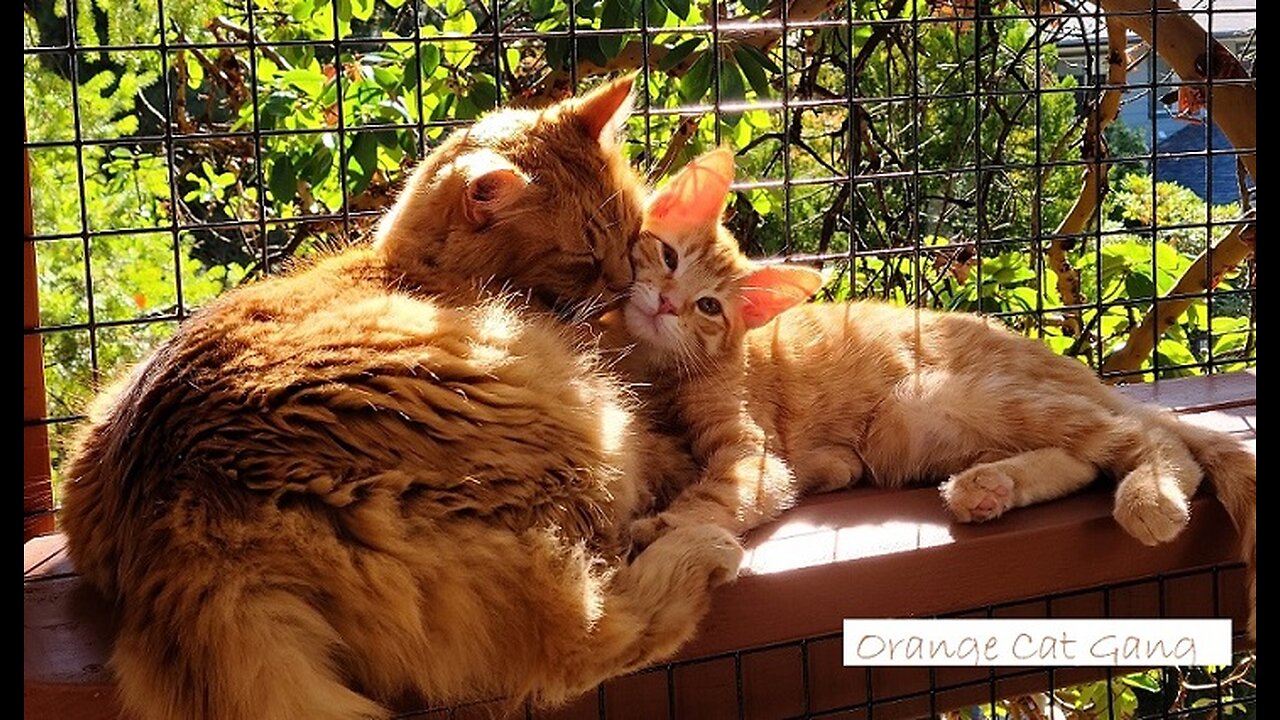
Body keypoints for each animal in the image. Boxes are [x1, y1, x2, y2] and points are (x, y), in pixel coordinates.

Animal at [57, 78, 742, 717]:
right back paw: (704, 551)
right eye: (585, 256)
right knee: (588, 638)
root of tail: (183, 510)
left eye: (631, 236)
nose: (625, 286)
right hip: (580, 444)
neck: (411, 265)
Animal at [614, 148, 1254, 630]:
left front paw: (664, 529)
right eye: (667, 255)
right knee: (1085, 459)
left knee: (1148, 438)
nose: (667, 303)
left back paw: (1150, 496)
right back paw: (988, 488)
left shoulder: (755, 452)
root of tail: (1075, 372)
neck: (665, 370)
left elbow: (727, 491)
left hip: (935, 398)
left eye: (708, 306)